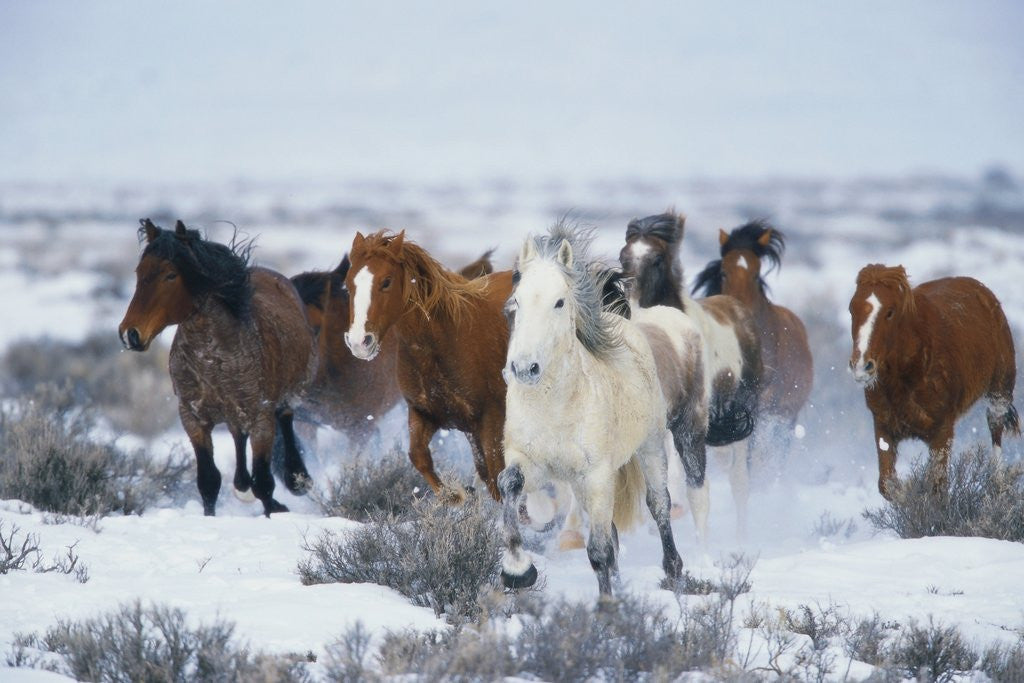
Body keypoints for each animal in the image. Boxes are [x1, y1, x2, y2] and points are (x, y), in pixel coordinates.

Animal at [119, 219, 317, 517]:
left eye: (170, 275)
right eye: (139, 272)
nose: (130, 334)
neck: (213, 361)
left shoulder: (261, 417)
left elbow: (264, 483)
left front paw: (276, 509)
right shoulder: (193, 418)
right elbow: (208, 481)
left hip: (289, 393)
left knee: (285, 418)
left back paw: (297, 478)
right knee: (237, 436)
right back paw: (242, 485)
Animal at [344, 231, 513, 502]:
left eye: (386, 282)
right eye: (348, 284)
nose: (360, 342)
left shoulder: (492, 417)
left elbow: (497, 474)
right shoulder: (424, 413)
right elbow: (419, 457)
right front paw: (455, 496)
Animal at [499, 224, 683, 598]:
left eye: (559, 301)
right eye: (516, 302)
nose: (524, 368)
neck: (554, 407)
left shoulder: (597, 475)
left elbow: (598, 551)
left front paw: (607, 607)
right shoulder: (531, 463)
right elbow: (508, 483)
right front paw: (517, 570)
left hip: (650, 447)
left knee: (658, 504)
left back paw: (673, 572)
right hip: (584, 484)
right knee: (612, 533)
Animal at [849, 264, 1019, 498]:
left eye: (890, 312)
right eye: (851, 309)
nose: (861, 366)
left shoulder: (942, 431)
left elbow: (937, 488)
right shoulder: (883, 426)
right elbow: (888, 485)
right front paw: (910, 490)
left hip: (999, 392)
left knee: (995, 430)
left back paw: (999, 485)